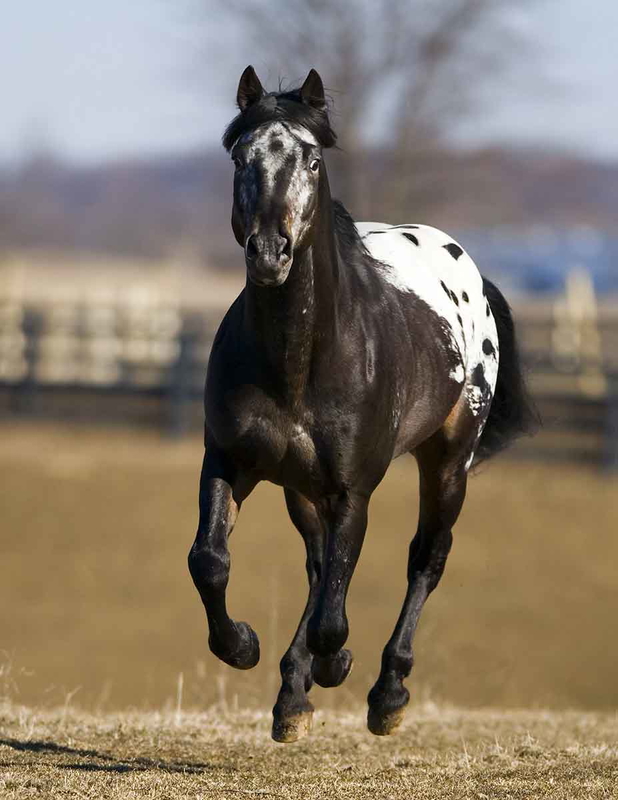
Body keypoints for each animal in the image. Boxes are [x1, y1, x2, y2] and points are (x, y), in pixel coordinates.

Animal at [188, 66, 537, 743]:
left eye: (312, 158)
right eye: (241, 157)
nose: (269, 252)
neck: (300, 360)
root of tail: (473, 276)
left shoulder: (354, 489)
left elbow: (335, 614)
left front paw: (334, 665)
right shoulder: (228, 461)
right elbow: (210, 561)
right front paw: (245, 646)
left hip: (449, 460)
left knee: (425, 558)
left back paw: (386, 692)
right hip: (300, 488)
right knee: (318, 565)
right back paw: (294, 699)